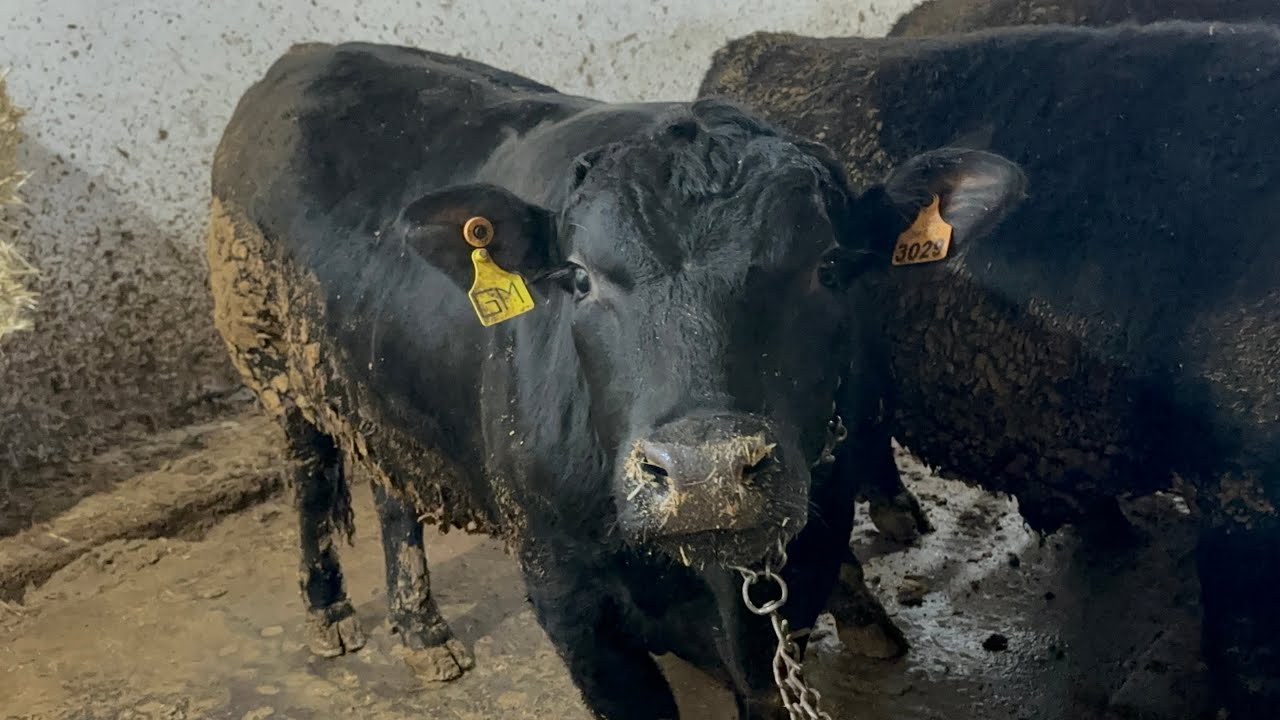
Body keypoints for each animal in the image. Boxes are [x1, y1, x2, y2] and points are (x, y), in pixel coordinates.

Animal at [206, 41, 1023, 719]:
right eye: (580, 277)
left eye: (827, 266)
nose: (705, 475)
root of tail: (302, 58)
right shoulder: (572, 608)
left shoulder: (796, 589)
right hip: (271, 367)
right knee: (311, 475)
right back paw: (330, 611)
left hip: (377, 384)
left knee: (390, 487)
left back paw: (421, 629)